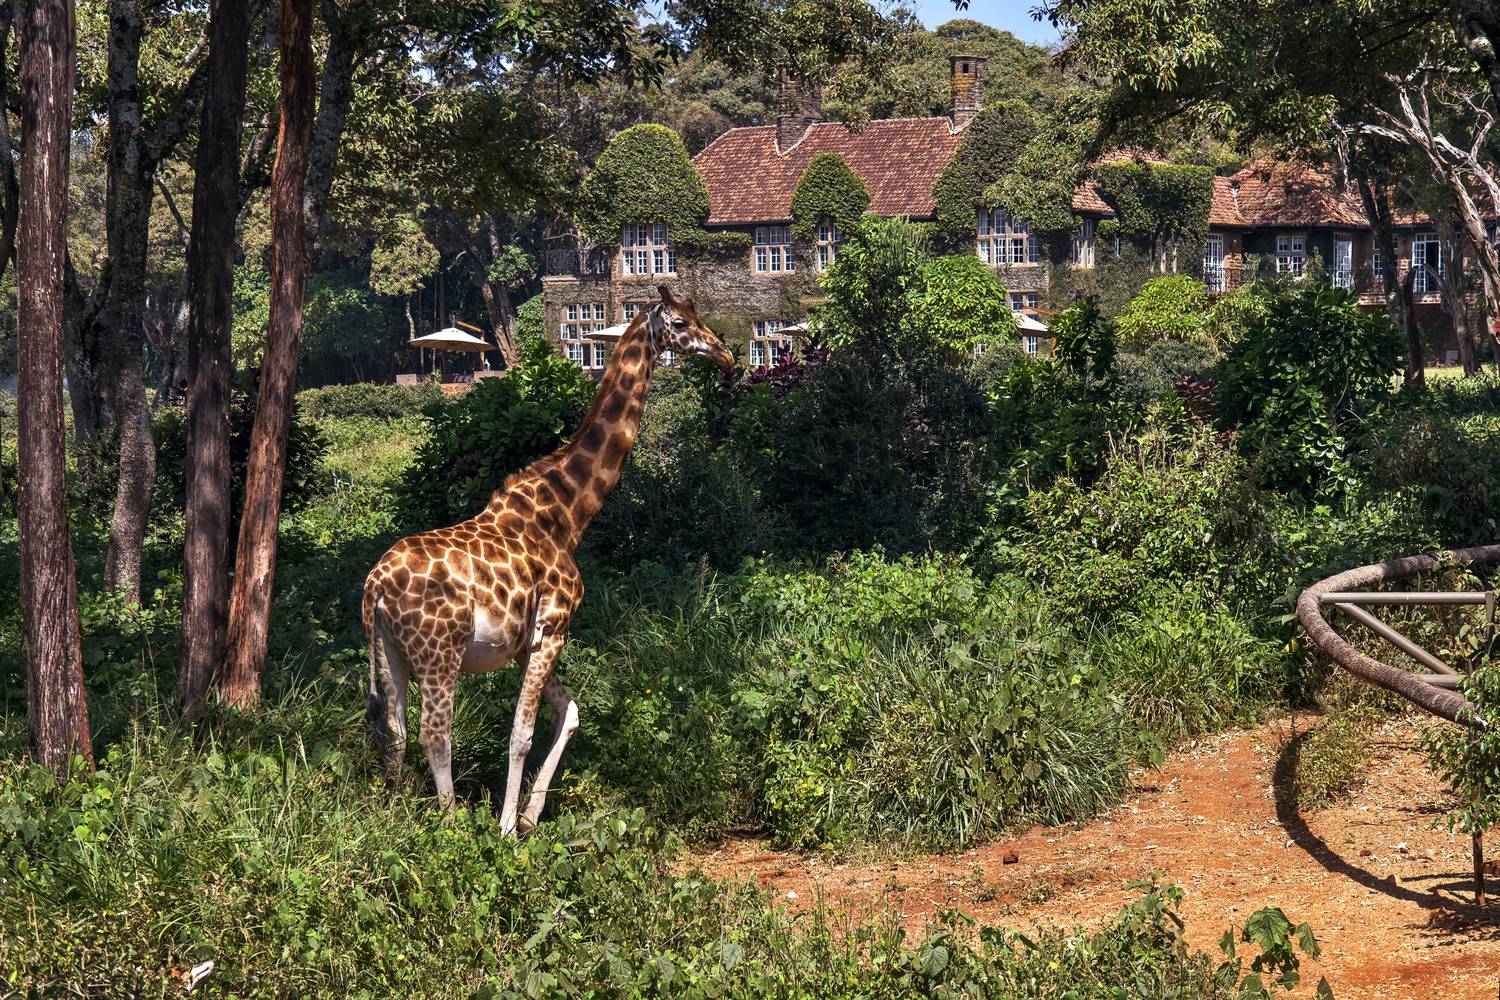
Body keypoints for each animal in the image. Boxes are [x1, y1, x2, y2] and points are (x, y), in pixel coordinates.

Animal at [358, 284, 732, 833]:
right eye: (681, 324)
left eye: (699, 314)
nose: (726, 354)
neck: (566, 513)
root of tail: (376, 587)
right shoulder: (553, 627)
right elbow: (521, 732)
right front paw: (507, 826)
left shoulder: (524, 644)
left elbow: (570, 713)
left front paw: (531, 816)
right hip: (439, 653)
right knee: (435, 733)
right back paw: (452, 829)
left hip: (389, 654)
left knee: (394, 731)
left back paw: (398, 818)